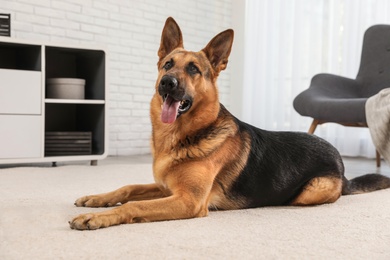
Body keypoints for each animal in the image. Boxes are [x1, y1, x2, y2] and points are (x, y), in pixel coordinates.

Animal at [69, 17, 390, 230]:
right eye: (168, 64)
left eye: (194, 69)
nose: (166, 83)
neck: (183, 135)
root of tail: (342, 166)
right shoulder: (167, 188)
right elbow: (128, 188)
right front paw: (96, 199)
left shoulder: (188, 200)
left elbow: (134, 204)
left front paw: (98, 218)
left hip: (310, 191)